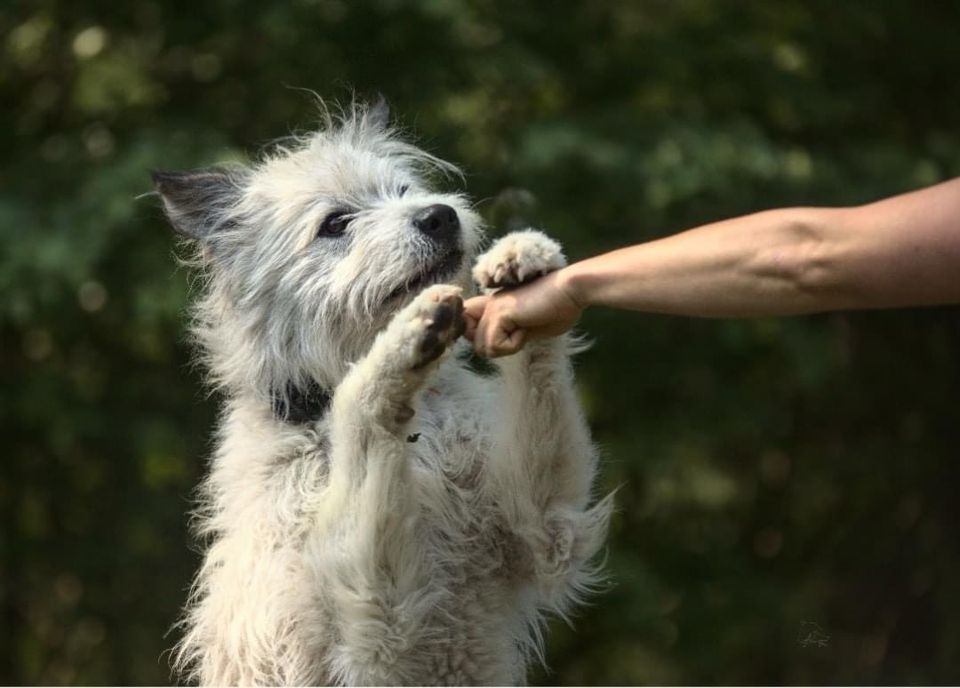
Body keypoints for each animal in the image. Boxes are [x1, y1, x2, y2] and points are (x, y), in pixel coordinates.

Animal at [154, 99, 612, 684]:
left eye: (401, 191)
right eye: (335, 223)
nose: (440, 215)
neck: (419, 436)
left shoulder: (547, 524)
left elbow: (540, 378)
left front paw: (525, 259)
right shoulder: (373, 625)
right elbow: (360, 405)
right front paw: (398, 343)